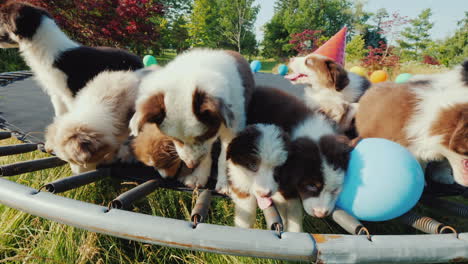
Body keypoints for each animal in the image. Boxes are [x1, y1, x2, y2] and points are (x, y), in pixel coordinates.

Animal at [130, 48, 256, 192]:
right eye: (175, 139)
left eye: (204, 136)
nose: (191, 165)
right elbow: (205, 154)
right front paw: (199, 176)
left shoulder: (231, 128)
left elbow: (224, 156)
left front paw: (226, 184)